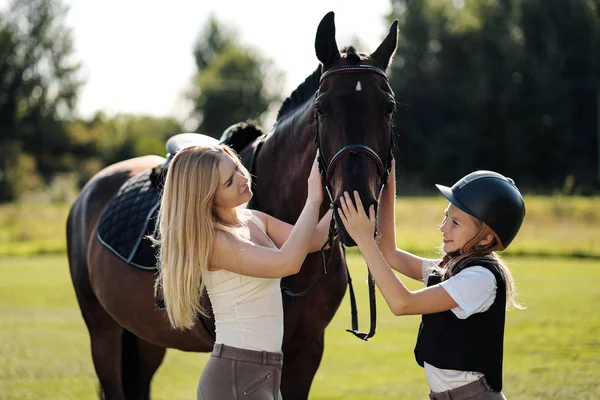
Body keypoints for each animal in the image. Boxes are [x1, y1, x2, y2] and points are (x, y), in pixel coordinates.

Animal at [67, 12, 398, 400]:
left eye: (388, 108)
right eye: (322, 108)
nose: (356, 205)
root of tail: (89, 192)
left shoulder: (307, 351)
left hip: (144, 339)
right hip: (103, 334)